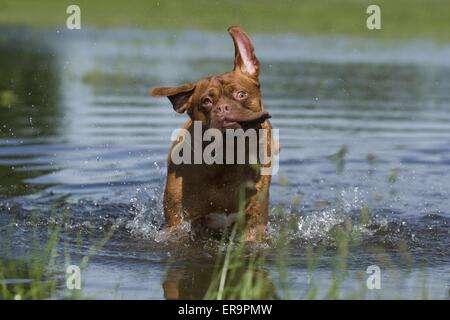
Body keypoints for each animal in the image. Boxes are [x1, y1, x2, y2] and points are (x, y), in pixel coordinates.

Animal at [151, 26, 274, 240]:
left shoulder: (253, 225)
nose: (223, 108)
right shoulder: (177, 224)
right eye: (206, 101)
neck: (227, 159)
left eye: (241, 94)